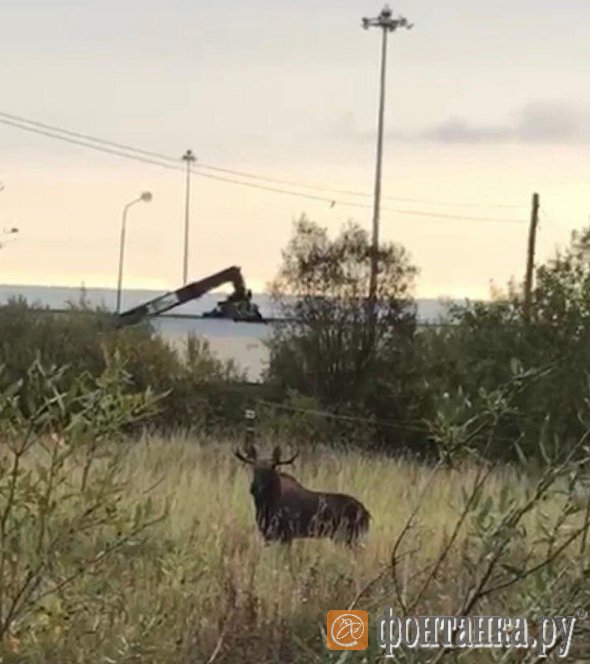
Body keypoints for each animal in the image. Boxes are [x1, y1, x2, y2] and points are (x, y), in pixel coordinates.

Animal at [234, 446, 372, 544]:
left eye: (271, 470)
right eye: (254, 469)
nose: (255, 488)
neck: (266, 505)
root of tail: (367, 513)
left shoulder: (286, 534)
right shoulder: (268, 534)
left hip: (349, 536)